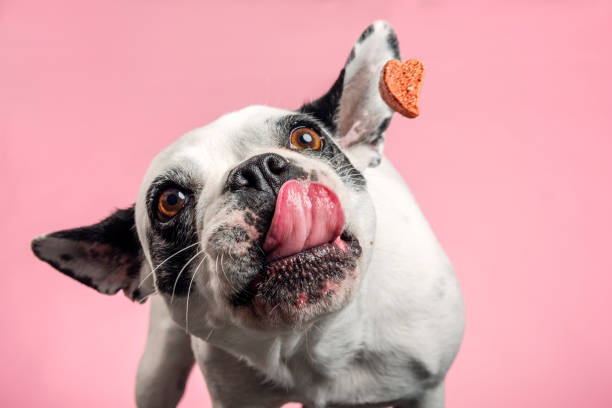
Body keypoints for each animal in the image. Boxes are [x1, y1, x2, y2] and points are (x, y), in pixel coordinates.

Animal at [31, 21, 464, 408]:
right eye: (169, 201)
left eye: (306, 138)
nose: (258, 170)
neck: (314, 337)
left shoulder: (427, 390)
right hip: (156, 370)